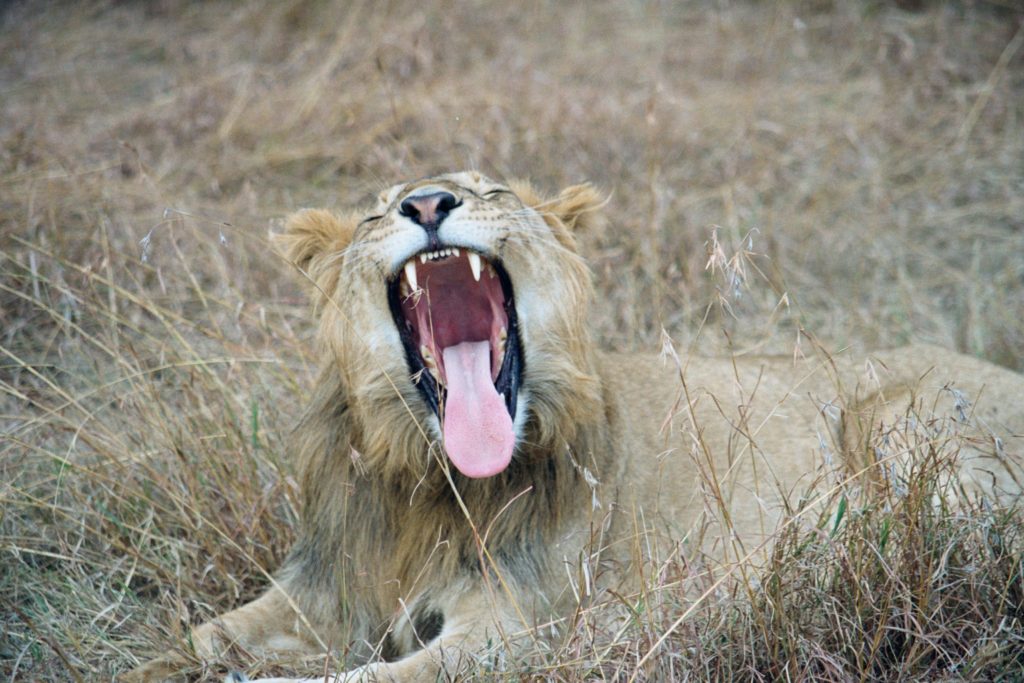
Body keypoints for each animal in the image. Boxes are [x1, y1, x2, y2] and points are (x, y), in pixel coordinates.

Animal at [128, 172, 1024, 683]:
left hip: (907, 430)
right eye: (377, 210)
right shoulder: (320, 591)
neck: (428, 482)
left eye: (487, 189)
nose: (427, 203)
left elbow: (365, 679)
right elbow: (196, 640)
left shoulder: (520, 633)